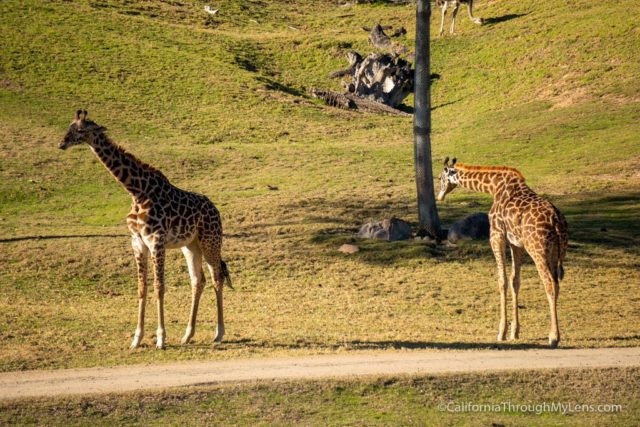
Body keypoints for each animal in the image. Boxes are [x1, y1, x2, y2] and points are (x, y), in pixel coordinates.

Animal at [58, 111, 231, 352]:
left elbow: (159, 287)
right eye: (69, 126)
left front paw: (160, 338)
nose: (62, 143)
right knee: (198, 281)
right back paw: (187, 335)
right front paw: (136, 339)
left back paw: (219, 334)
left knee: (217, 277)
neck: (137, 192)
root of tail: (216, 210)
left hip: (210, 241)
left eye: (81, 130)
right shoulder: (138, 242)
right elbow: (142, 287)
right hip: (190, 245)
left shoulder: (156, 241)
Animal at [438, 157, 568, 348]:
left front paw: (501, 332)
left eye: (439, 177)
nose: (439, 196)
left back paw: (553, 337)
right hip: (556, 252)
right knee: (557, 284)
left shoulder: (496, 236)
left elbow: (502, 280)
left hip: (539, 251)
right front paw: (515, 332)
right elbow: (515, 281)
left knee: (549, 283)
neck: (494, 186)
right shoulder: (516, 244)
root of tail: (557, 223)